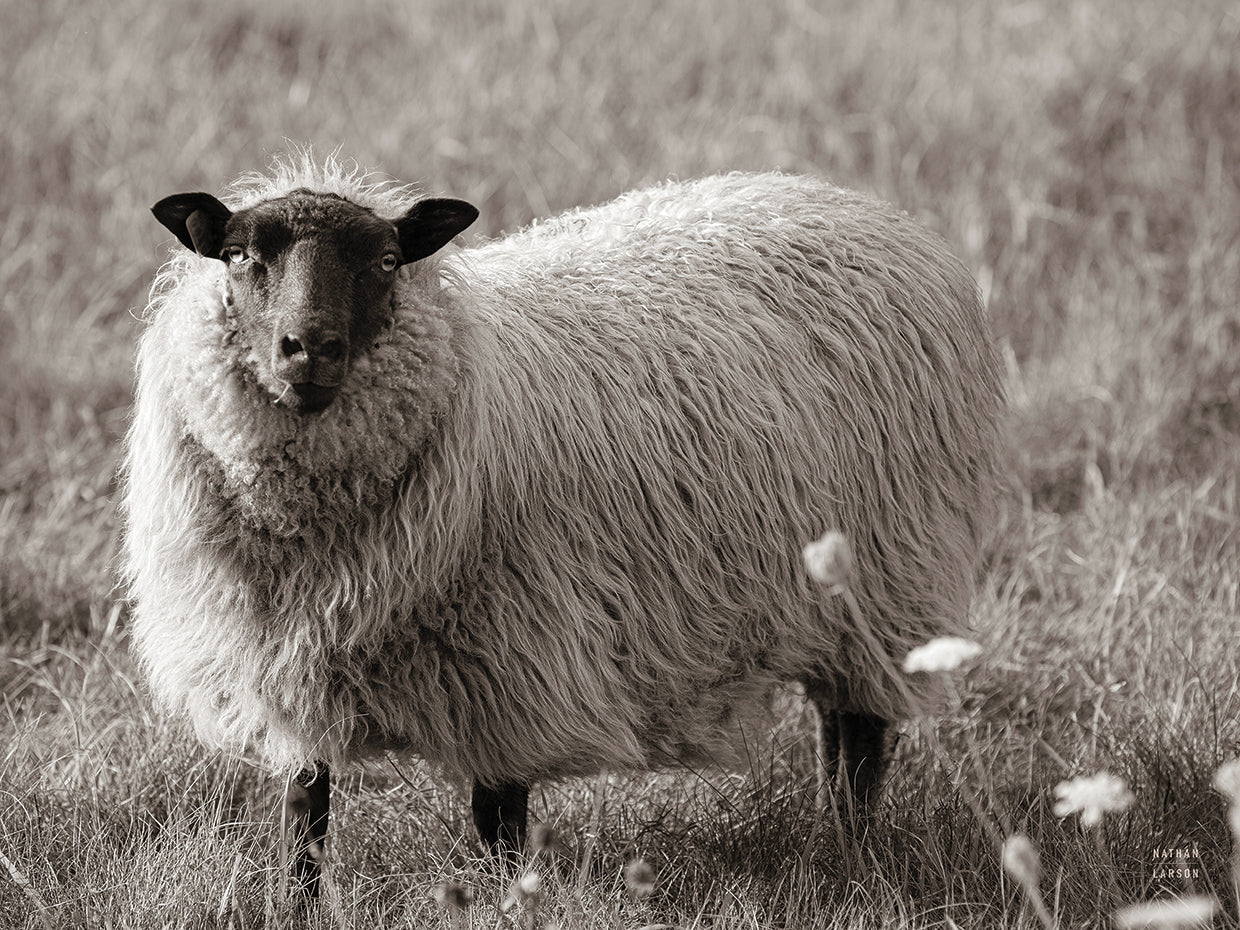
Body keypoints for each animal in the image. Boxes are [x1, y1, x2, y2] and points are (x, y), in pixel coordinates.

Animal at [122, 155, 1003, 895]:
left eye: (386, 261)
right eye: (241, 255)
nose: (309, 350)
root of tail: (852, 203)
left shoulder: (511, 661)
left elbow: (499, 820)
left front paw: (507, 901)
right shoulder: (287, 667)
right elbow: (305, 814)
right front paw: (298, 903)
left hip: (888, 574)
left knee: (859, 735)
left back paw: (851, 846)